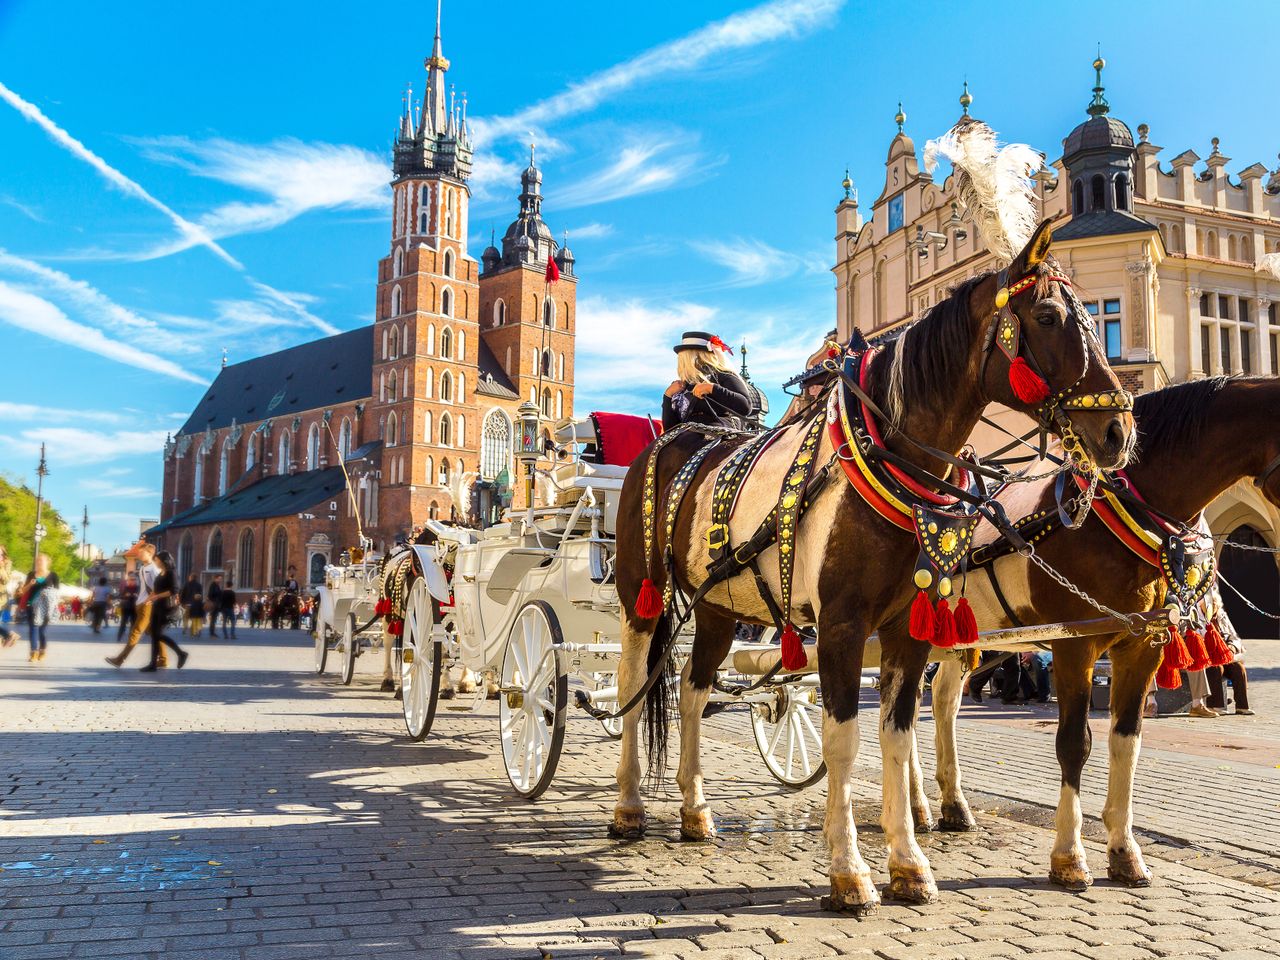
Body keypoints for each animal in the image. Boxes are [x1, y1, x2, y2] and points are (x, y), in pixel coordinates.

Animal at [614, 220, 1136, 916]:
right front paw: (848, 871)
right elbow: (844, 739)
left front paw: (909, 863)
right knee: (632, 682)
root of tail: (675, 439)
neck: (888, 457)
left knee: (694, 691)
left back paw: (696, 812)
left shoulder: (906, 628)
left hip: (719, 604)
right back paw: (627, 806)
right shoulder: (840, 625)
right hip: (639, 592)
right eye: (1049, 316)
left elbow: (896, 734)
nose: (1118, 432)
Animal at [916, 373, 1280, 896]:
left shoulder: (1142, 647)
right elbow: (1074, 743)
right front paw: (1069, 856)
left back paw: (946, 805)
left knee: (940, 702)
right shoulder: (1074, 645)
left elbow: (1126, 741)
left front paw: (1125, 852)